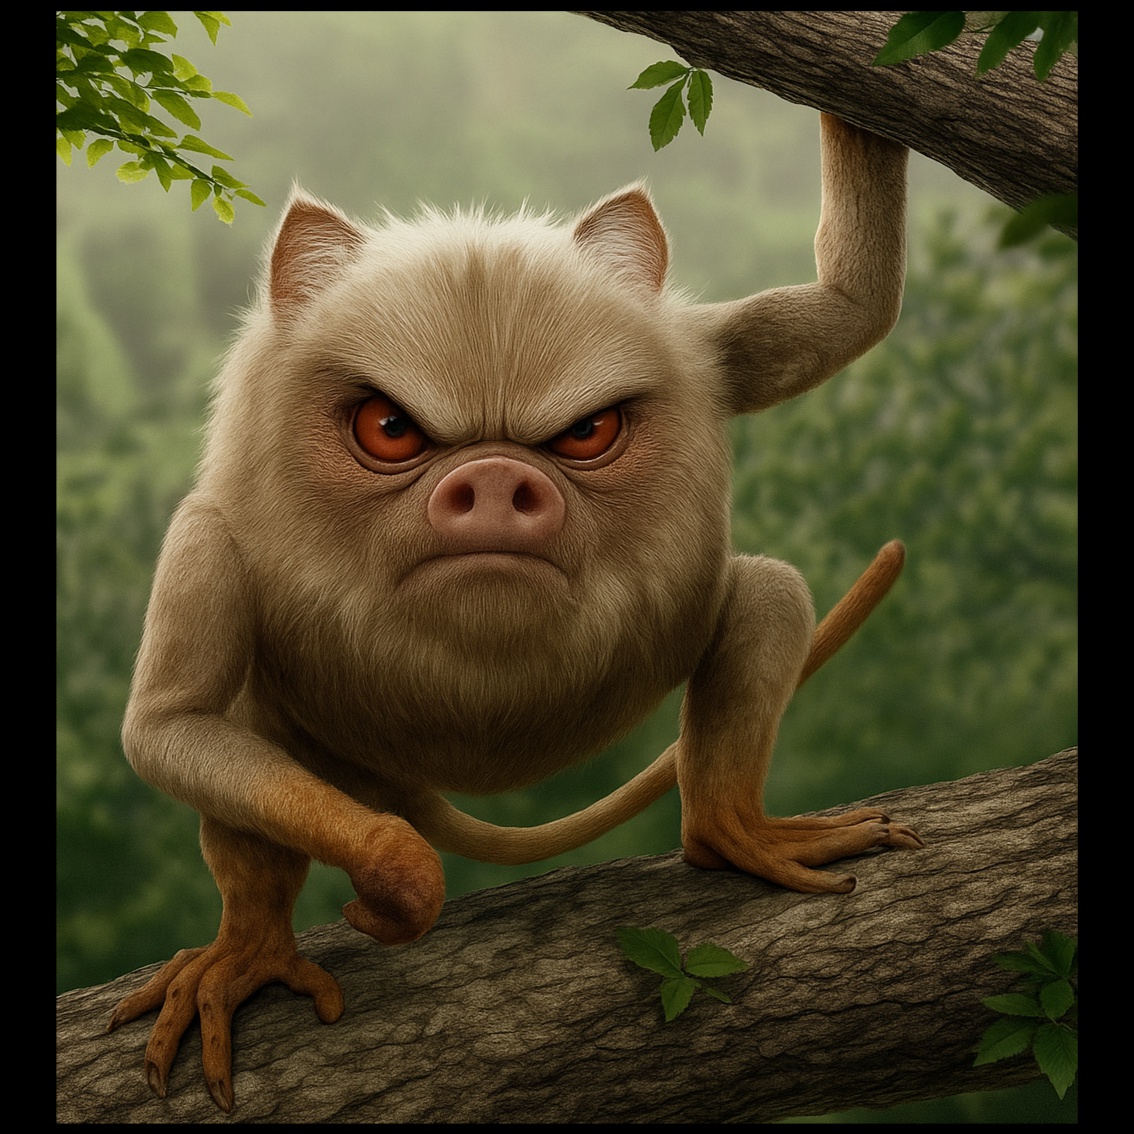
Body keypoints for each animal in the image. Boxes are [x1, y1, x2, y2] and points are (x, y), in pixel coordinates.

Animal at [107, 113, 921, 1112]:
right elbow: (170, 727)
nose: (495, 478)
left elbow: (854, 311)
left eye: (587, 432)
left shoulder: (706, 351)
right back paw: (251, 950)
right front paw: (399, 876)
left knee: (766, 591)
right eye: (388, 429)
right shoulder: (207, 538)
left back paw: (732, 834)